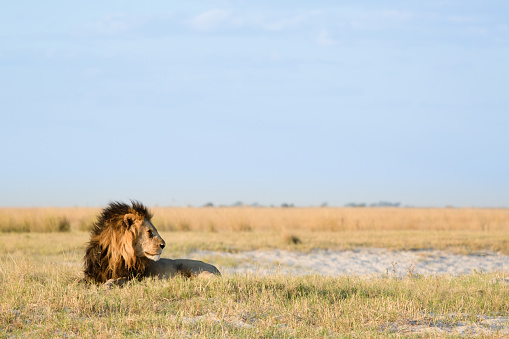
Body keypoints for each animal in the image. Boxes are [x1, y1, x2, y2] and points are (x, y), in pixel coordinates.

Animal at [83, 202, 220, 286]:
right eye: (149, 232)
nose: (163, 245)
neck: (116, 255)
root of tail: (216, 268)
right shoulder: (92, 275)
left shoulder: (135, 277)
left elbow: (119, 280)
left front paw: (108, 284)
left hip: (197, 270)